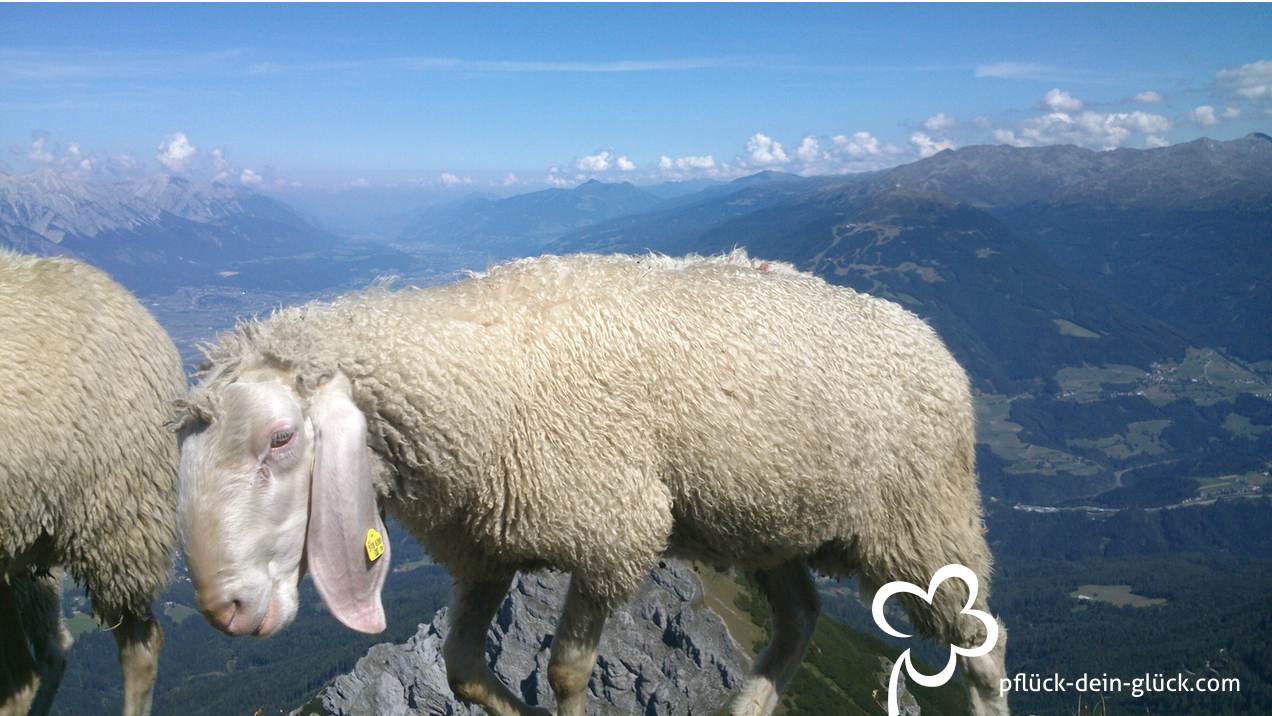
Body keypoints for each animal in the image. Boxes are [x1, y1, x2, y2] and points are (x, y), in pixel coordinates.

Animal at [175, 250, 1009, 716]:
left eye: (281, 438)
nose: (225, 610)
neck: (466, 381)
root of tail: (932, 340)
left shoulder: (612, 533)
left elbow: (566, 669)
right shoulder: (485, 549)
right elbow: (463, 670)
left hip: (922, 522)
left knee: (980, 645)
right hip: (765, 520)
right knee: (800, 619)